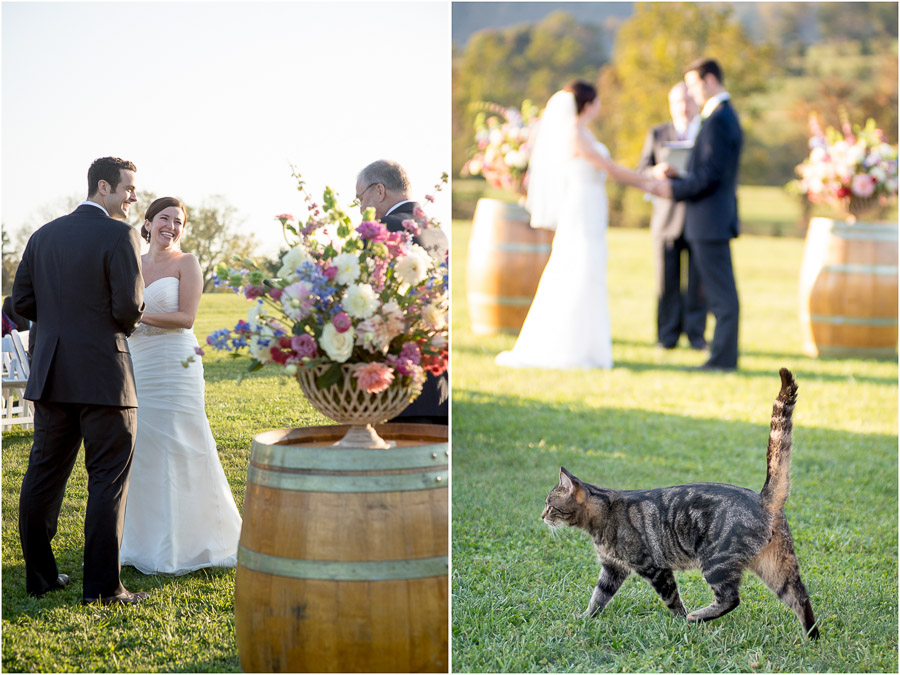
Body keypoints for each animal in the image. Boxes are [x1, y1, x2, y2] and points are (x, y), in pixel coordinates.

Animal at [540, 370, 824, 640]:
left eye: (550, 505)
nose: (541, 516)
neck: (604, 514)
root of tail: (763, 499)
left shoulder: (654, 568)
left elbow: (672, 599)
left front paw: (679, 620)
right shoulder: (612, 569)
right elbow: (598, 598)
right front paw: (584, 618)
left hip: (716, 562)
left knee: (731, 598)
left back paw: (697, 617)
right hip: (778, 567)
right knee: (800, 597)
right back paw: (812, 637)